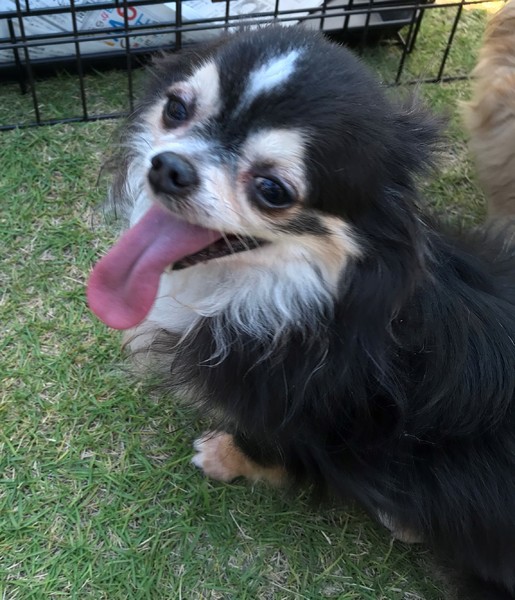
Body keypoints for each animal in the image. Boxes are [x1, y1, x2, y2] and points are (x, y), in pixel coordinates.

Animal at [87, 27, 515, 599]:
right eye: (176, 108)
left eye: (272, 190)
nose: (169, 167)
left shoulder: (308, 415)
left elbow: (267, 444)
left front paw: (224, 456)